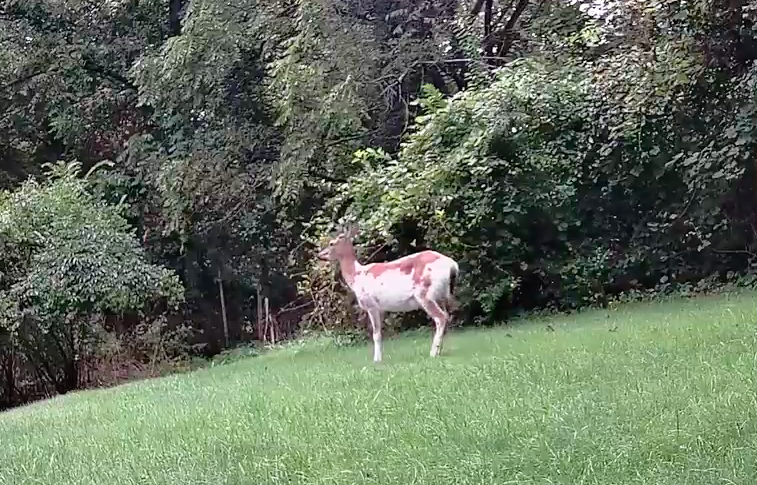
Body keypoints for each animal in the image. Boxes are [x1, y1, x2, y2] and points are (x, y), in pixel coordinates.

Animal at [316, 226, 458, 360]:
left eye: (331, 243)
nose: (319, 255)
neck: (357, 276)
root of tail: (452, 265)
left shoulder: (371, 304)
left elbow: (376, 334)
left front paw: (376, 360)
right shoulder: (382, 308)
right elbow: (381, 332)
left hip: (424, 293)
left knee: (440, 317)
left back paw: (433, 353)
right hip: (441, 295)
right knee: (447, 316)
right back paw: (439, 351)